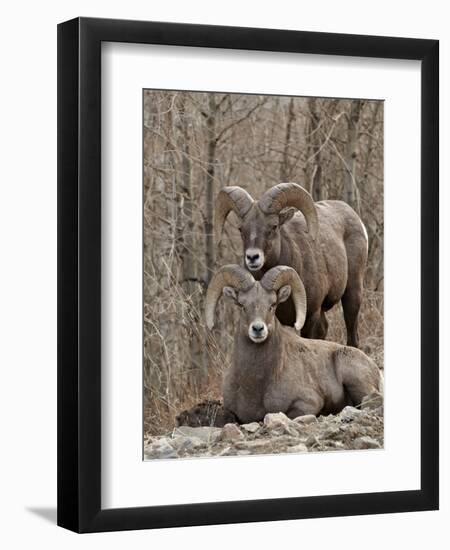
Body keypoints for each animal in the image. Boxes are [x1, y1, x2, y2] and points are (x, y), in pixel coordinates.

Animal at [207, 266, 380, 424]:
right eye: (242, 306)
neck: (255, 383)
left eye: (272, 305)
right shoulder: (228, 411)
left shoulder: (307, 403)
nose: (257, 329)